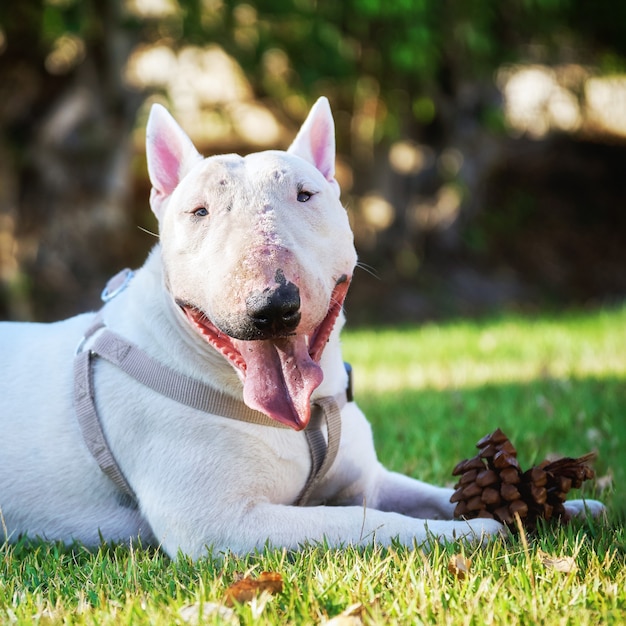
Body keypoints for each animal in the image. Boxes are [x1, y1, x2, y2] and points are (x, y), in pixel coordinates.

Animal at [0, 97, 600, 556]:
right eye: (198, 211)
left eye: (305, 194)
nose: (272, 306)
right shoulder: (221, 525)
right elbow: (362, 522)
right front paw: (474, 530)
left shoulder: (367, 480)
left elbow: (425, 493)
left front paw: (561, 504)